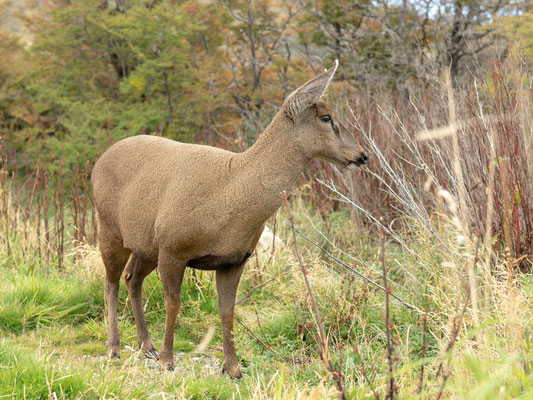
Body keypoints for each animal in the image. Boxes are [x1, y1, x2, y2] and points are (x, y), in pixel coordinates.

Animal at [91, 60, 366, 378]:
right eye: (326, 116)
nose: (362, 155)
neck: (228, 199)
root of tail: (99, 161)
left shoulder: (234, 259)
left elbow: (228, 312)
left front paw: (232, 368)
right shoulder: (173, 247)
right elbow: (173, 304)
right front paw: (168, 360)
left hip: (146, 242)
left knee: (131, 278)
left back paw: (146, 345)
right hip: (109, 225)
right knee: (110, 281)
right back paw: (114, 347)